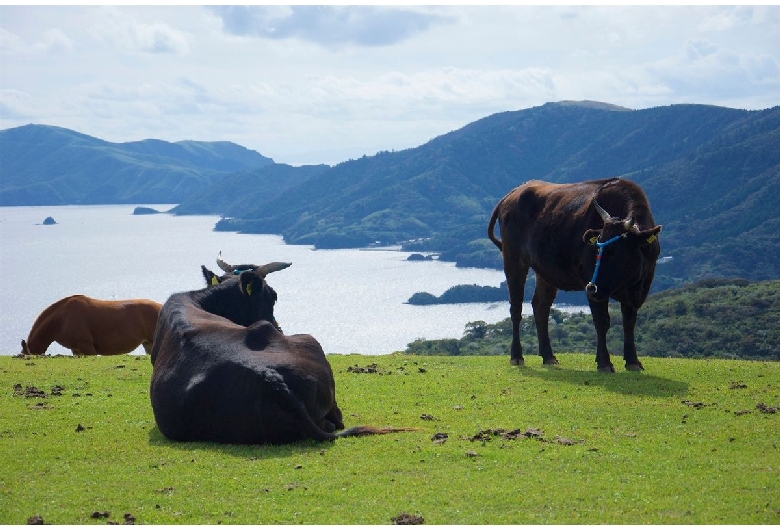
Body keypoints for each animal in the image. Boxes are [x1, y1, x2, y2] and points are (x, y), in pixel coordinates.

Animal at [488, 177, 664, 372]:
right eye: (596, 248)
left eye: (614, 251)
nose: (591, 288)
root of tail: (514, 193)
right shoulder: (595, 286)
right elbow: (602, 322)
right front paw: (604, 363)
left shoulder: (639, 286)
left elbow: (629, 323)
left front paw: (633, 361)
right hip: (513, 259)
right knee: (516, 308)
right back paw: (517, 356)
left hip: (546, 271)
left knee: (541, 307)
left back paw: (548, 356)